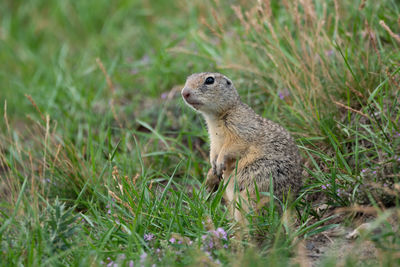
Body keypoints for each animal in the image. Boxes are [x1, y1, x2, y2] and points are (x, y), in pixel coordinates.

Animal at [181, 72, 300, 221]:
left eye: (209, 80)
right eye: (187, 79)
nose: (184, 93)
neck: (217, 116)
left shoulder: (240, 128)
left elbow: (232, 146)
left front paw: (219, 163)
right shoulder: (214, 139)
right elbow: (213, 151)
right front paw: (212, 169)